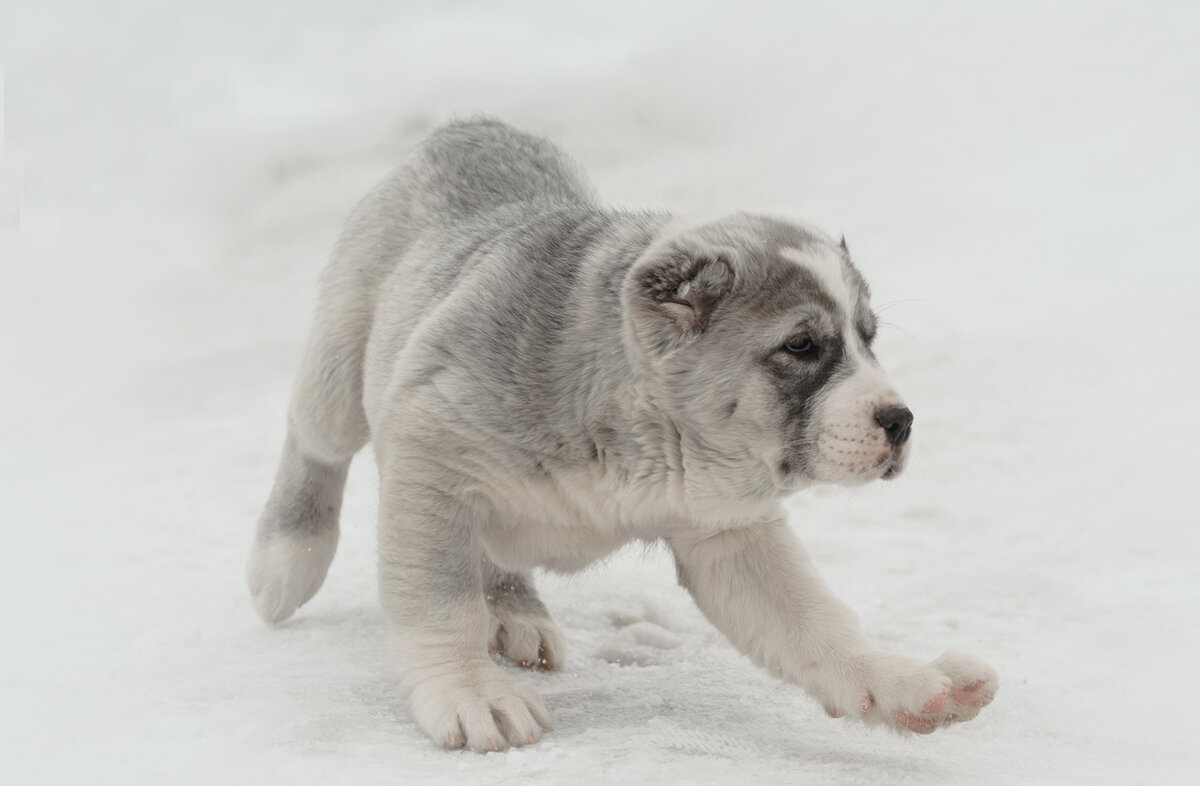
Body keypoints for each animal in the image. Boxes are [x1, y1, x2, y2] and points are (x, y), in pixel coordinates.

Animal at [243, 117, 993, 748]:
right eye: (802, 346)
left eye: (869, 339)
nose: (901, 420)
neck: (652, 432)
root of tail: (470, 126)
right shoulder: (431, 455)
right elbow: (441, 601)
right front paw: (470, 692)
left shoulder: (730, 532)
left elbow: (814, 622)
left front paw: (901, 683)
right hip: (343, 367)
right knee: (312, 439)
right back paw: (287, 560)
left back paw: (516, 612)